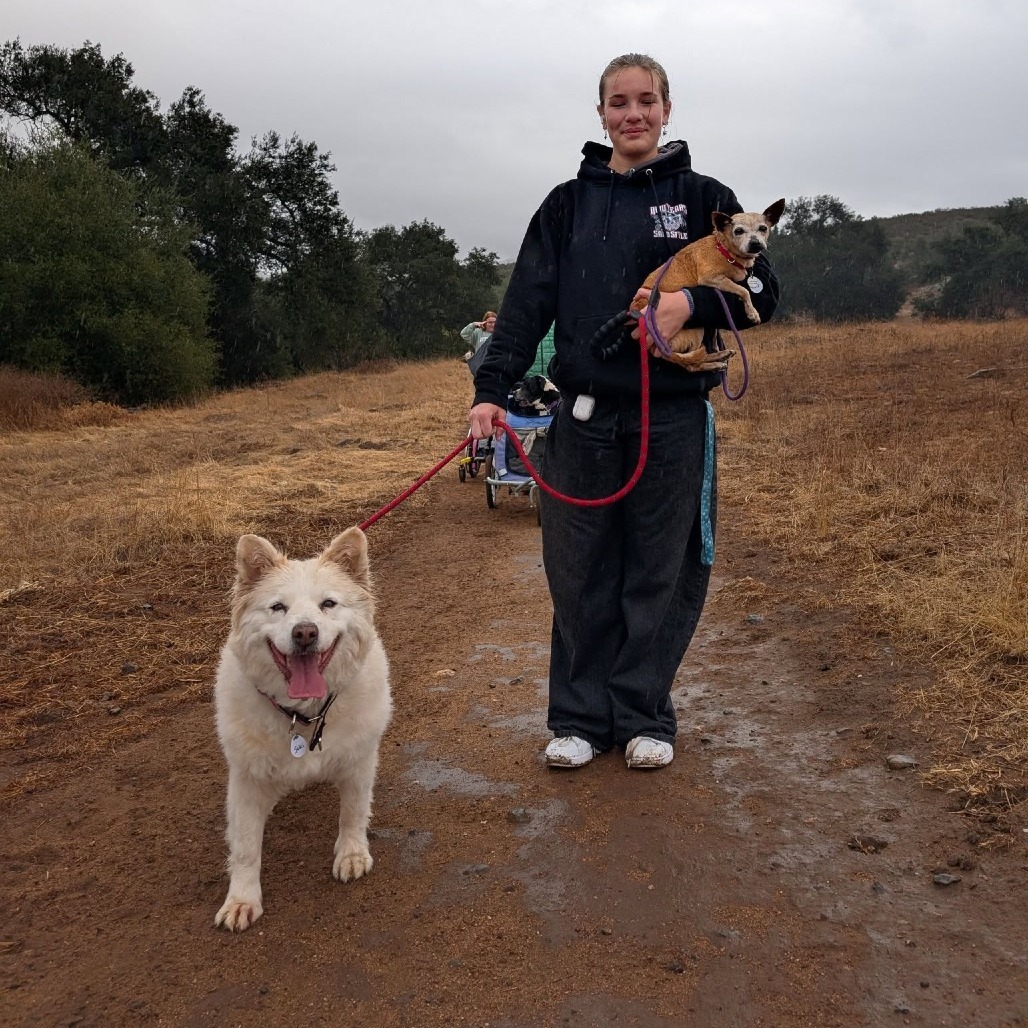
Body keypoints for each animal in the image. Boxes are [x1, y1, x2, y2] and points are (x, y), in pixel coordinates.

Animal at [214, 530, 390, 933]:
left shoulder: (359, 762)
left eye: (328, 604)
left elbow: (353, 812)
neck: (303, 717)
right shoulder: (246, 781)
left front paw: (352, 854)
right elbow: (245, 847)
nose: (305, 632)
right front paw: (242, 900)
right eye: (278, 607)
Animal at [629, 198, 781, 372]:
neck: (723, 250)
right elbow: (744, 290)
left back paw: (720, 355)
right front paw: (753, 313)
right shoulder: (711, 278)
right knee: (693, 364)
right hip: (695, 331)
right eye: (738, 231)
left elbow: (715, 328)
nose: (755, 243)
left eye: (763, 228)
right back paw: (715, 362)